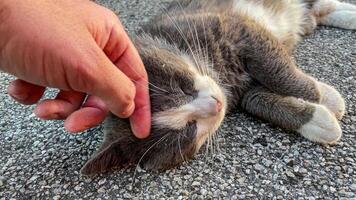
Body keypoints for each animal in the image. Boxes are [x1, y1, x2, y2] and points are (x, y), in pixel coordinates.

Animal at [80, 0, 356, 175]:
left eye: (181, 86)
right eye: (187, 132)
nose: (216, 104)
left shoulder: (234, 28)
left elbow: (278, 72)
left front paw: (327, 97)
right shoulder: (242, 91)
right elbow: (257, 100)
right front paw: (320, 120)